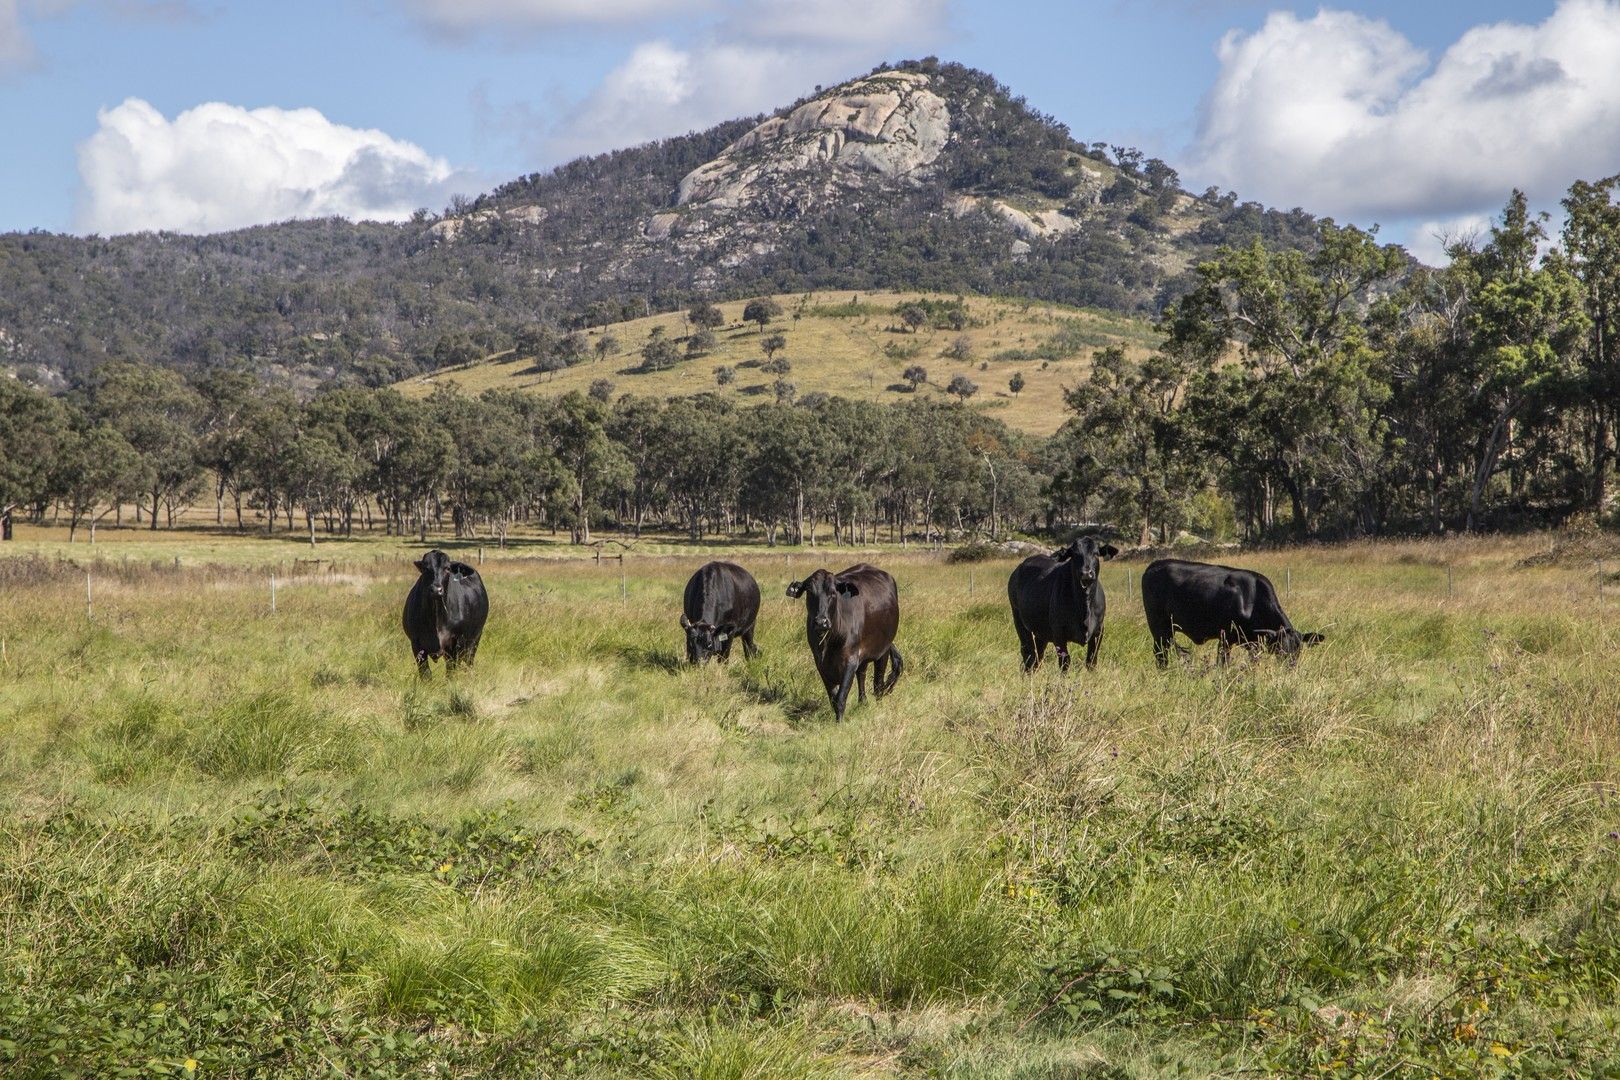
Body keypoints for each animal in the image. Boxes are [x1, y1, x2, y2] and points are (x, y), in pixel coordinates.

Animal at [787, 563, 907, 722]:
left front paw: (839, 723)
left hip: (884, 649)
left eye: (833, 593)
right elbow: (833, 697)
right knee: (862, 675)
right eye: (810, 592)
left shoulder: (850, 660)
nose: (821, 622)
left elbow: (841, 697)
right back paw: (863, 702)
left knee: (878, 683)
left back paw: (877, 705)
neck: (830, 641)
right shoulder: (820, 663)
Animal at [1004, 537, 1121, 670]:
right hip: (1020, 623)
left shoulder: (1098, 631)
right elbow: (1065, 662)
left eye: (1096, 553)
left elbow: (1091, 662)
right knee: (1028, 655)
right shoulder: (1058, 633)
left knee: (1037, 657)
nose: (1086, 573)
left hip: (1040, 634)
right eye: (1075, 554)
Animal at [1146, 557, 1321, 667]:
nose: (1290, 667)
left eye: (1298, 650)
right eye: (1280, 650)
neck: (1252, 599)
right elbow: (1223, 663)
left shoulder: (1253, 643)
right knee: (1160, 654)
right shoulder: (1225, 637)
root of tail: (1155, 564)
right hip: (1159, 628)